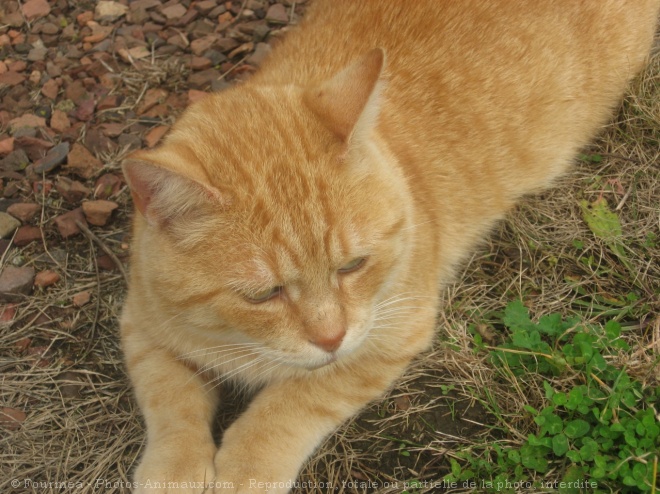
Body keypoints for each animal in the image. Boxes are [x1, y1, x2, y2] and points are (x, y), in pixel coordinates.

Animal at [121, 1, 656, 492]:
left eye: (353, 265)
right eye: (263, 295)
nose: (329, 339)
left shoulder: (389, 332)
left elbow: (295, 399)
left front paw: (244, 468)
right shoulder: (142, 325)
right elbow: (170, 400)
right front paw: (174, 472)